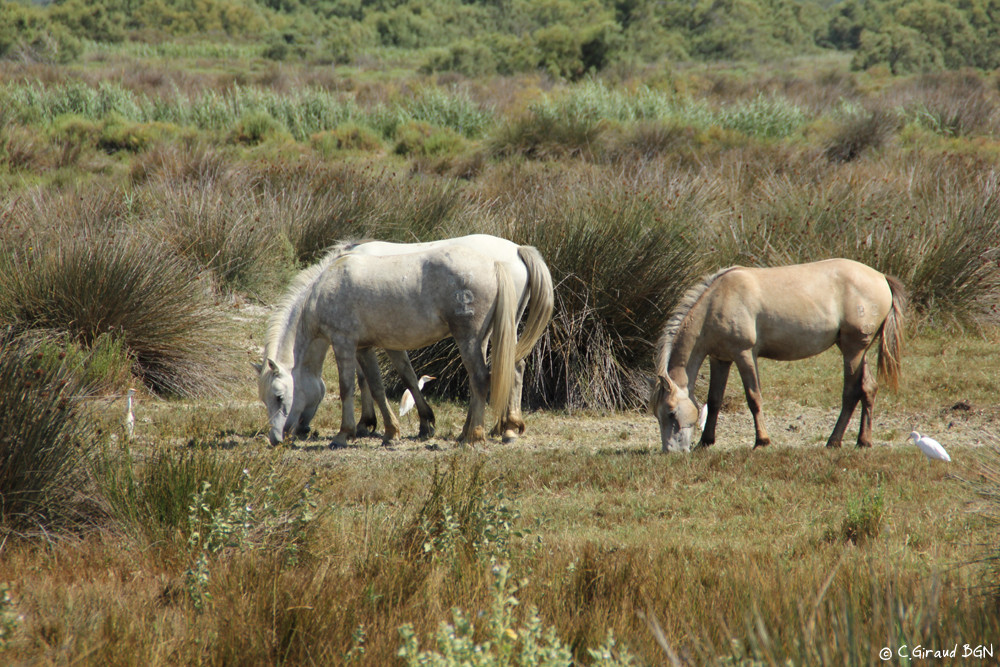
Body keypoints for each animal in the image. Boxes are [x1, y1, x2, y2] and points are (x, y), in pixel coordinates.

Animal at [278, 235, 552, 444]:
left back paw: (481, 434)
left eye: (278, 395)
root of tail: (514, 251)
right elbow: (391, 381)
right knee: (512, 367)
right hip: (495, 333)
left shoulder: (347, 342)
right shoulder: (378, 343)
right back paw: (494, 429)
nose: (278, 437)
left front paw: (355, 429)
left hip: (472, 337)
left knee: (482, 378)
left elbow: (353, 384)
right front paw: (411, 426)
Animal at [648, 258, 908, 452]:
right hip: (858, 350)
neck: (717, 301)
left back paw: (834, 441)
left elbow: (754, 397)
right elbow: (714, 400)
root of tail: (881, 277)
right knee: (868, 388)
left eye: (671, 412)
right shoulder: (720, 359)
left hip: (853, 350)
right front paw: (706, 441)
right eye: (658, 415)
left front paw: (762, 441)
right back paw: (863, 441)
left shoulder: (744, 354)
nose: (670, 452)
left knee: (851, 392)